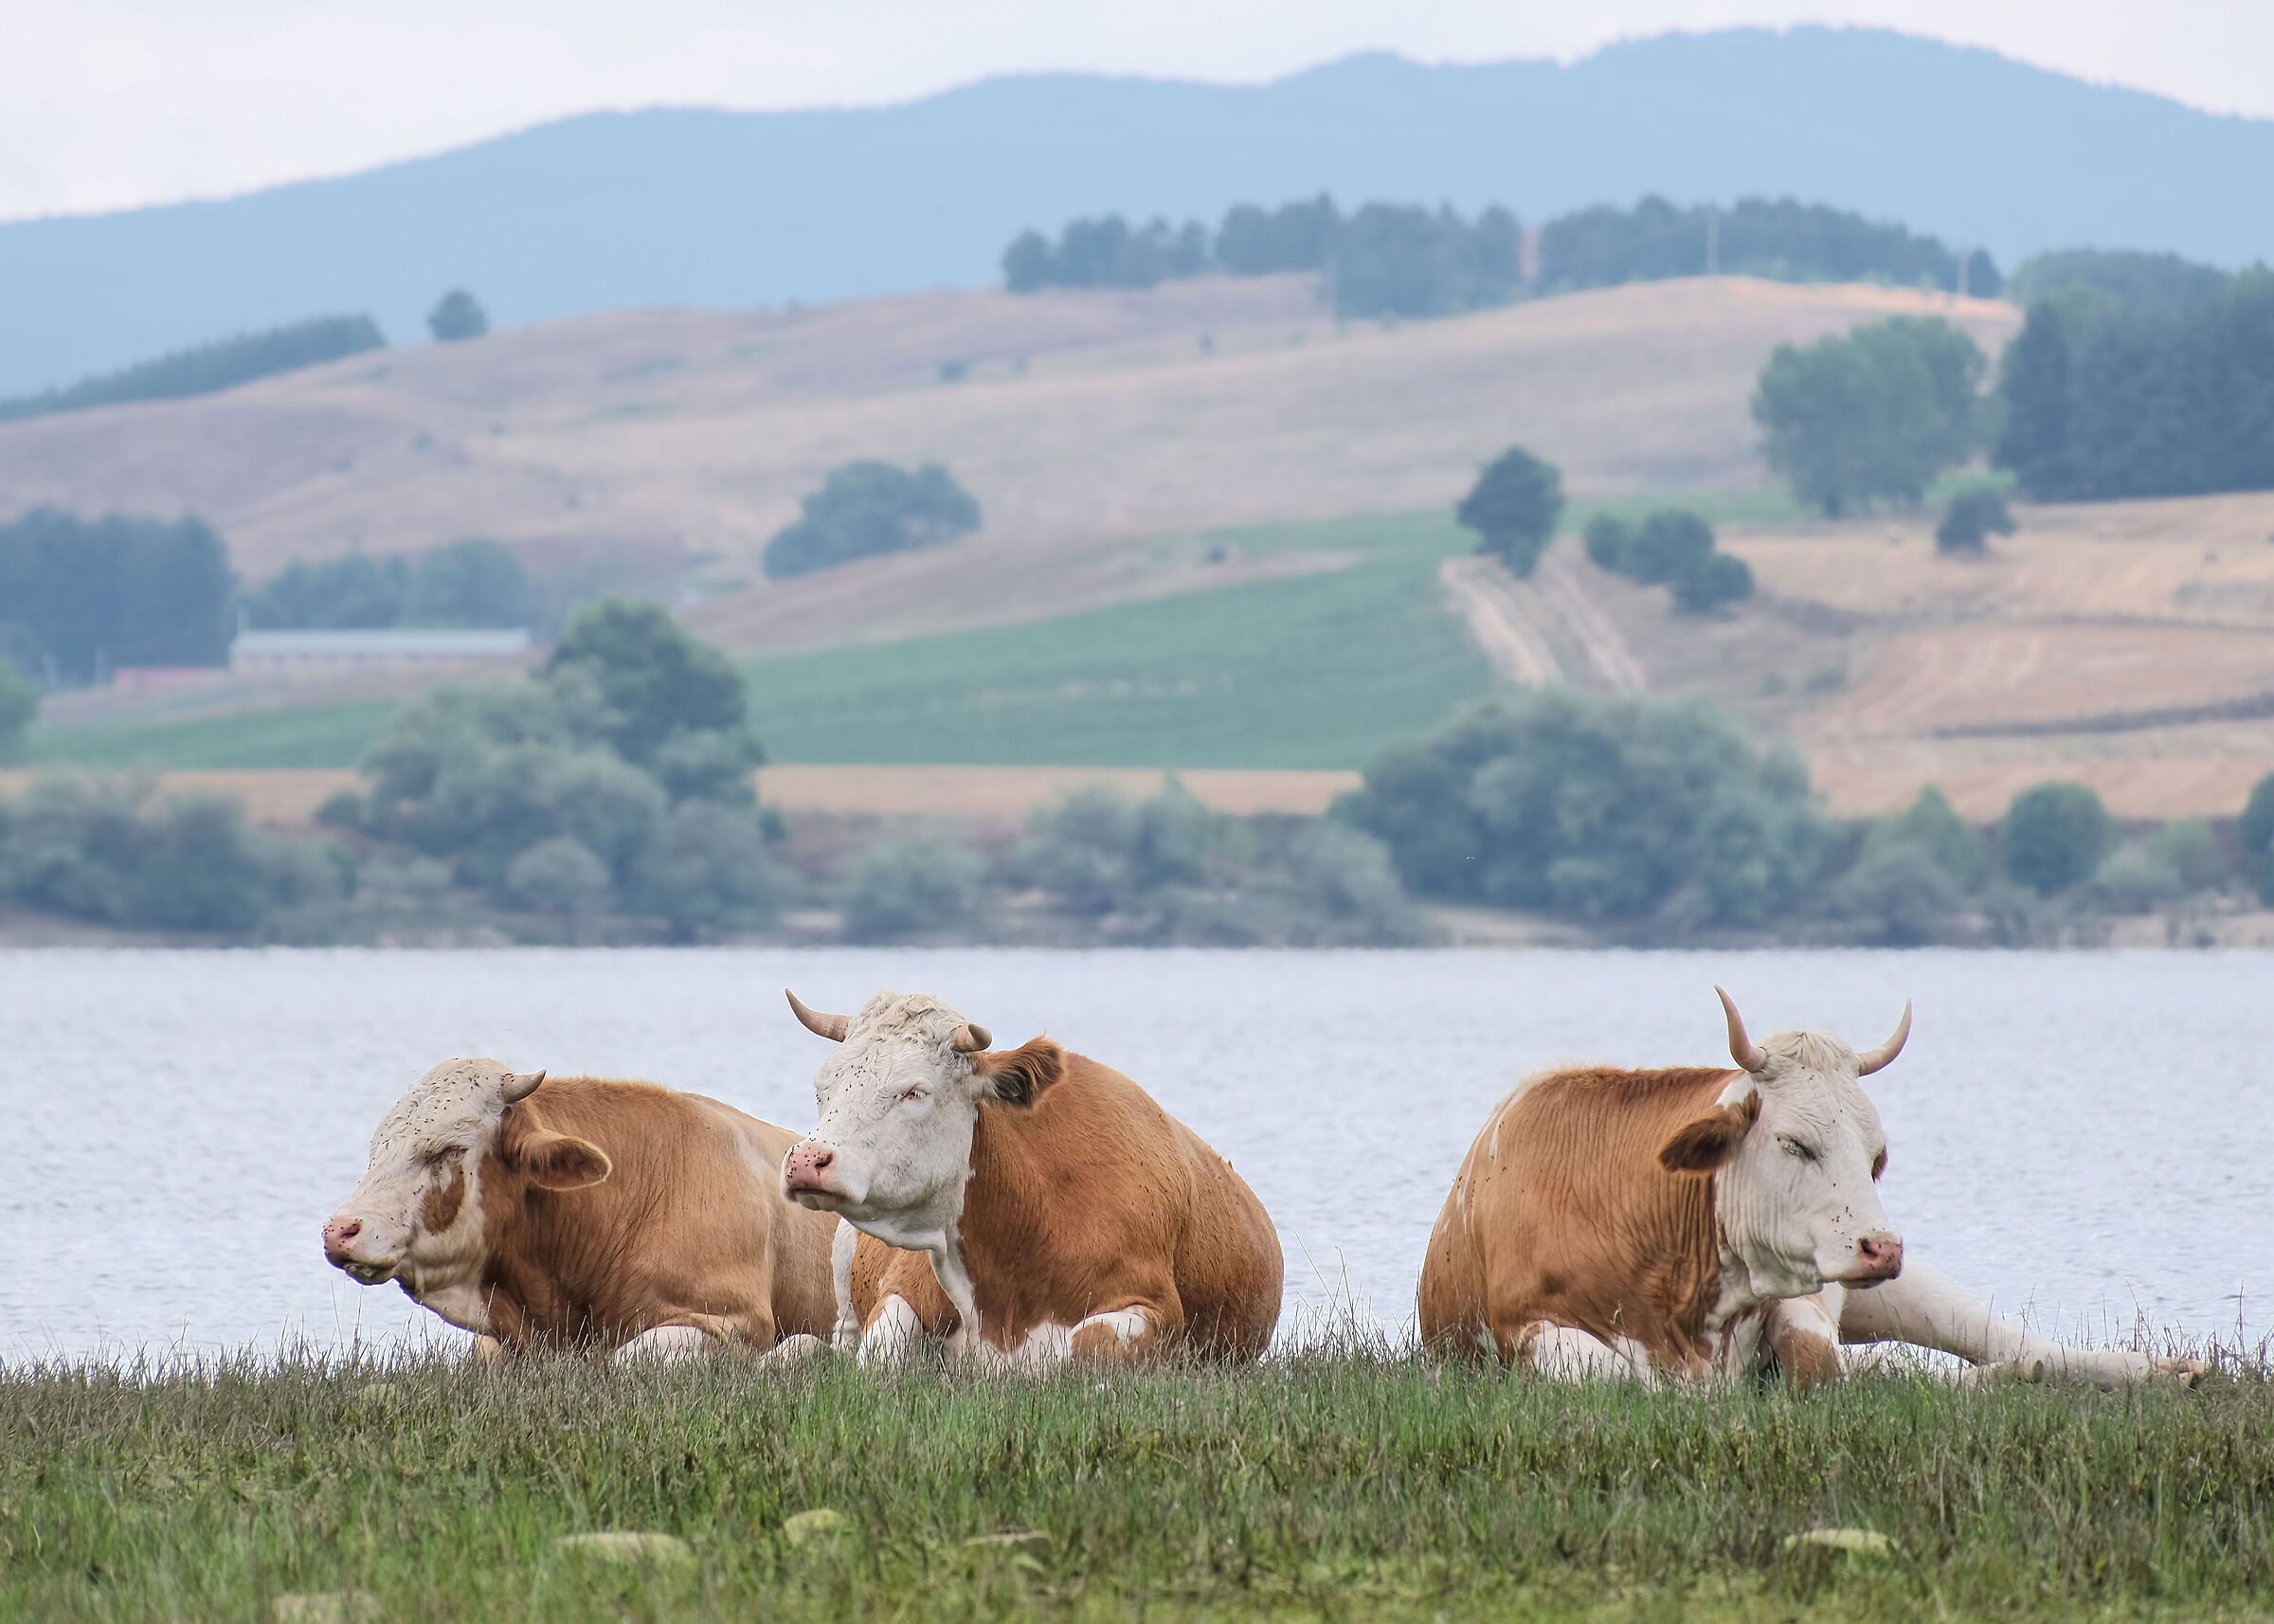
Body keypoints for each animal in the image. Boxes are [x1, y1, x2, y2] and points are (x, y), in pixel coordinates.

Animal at [775, 989, 1283, 1366]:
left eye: (915, 1091)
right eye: (823, 1089)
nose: (807, 1160)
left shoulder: (1155, 1308)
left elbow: (1085, 1344)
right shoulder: (901, 1287)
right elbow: (881, 1353)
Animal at [1418, 989, 2200, 1389]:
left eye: (1877, 1155)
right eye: (1794, 1143)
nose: (1881, 1246)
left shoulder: (1801, 1297)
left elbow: (1819, 1364)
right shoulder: (1525, 1332)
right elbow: (1614, 1375)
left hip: (1892, 1289)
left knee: (2001, 1340)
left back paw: (2161, 1369)